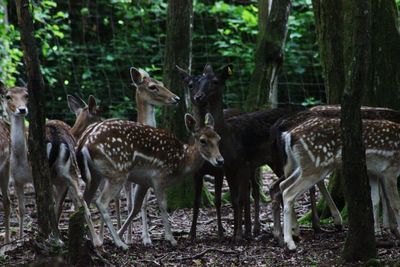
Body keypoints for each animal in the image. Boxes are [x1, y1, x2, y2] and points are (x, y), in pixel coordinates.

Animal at [76, 112, 223, 249]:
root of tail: (84, 142)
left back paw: (94, 240)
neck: (182, 162)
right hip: (118, 171)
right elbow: (162, 205)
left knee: (84, 202)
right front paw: (170, 238)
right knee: (101, 202)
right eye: (203, 140)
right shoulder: (159, 176)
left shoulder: (144, 182)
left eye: (219, 139)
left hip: (94, 175)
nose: (220, 161)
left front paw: (120, 233)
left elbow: (135, 208)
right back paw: (119, 244)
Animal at [177, 63, 290, 242]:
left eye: (215, 81)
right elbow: (233, 199)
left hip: (274, 160)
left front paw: (237, 234)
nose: (198, 97)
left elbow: (238, 199)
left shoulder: (238, 165)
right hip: (267, 162)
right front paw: (235, 234)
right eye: (192, 84)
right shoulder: (227, 168)